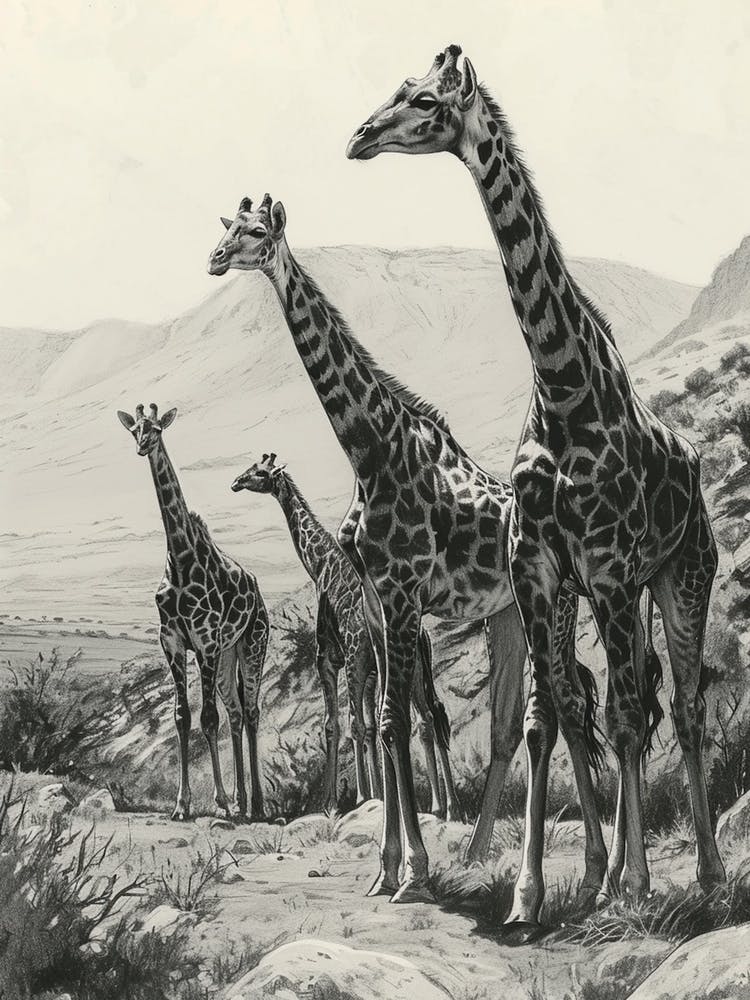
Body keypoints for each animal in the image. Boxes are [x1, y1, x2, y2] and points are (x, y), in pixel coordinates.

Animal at [117, 403, 268, 822]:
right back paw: (243, 802)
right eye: (134, 429)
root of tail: (257, 589)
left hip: (252, 645)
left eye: (156, 429)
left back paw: (257, 805)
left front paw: (219, 802)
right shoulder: (171, 641)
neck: (181, 559)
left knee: (251, 711)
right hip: (229, 654)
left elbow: (207, 718)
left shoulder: (205, 642)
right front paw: (182, 804)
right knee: (236, 713)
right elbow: (183, 717)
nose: (142, 446)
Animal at [231, 451, 460, 818]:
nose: (236, 482)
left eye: (260, 473)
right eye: (251, 468)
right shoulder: (368, 672)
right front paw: (374, 795)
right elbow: (368, 728)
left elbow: (337, 725)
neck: (320, 565)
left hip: (363, 662)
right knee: (426, 720)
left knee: (380, 722)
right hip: (413, 670)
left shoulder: (329, 658)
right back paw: (444, 807)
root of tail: (421, 632)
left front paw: (337, 802)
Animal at [346, 43, 725, 927]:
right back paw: (608, 873)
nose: (359, 137)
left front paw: (630, 885)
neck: (560, 383)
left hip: (681, 575)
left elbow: (618, 716)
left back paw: (702, 873)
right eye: (396, 89)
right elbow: (551, 718)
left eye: (424, 100)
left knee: (681, 707)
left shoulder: (612, 568)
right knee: (622, 701)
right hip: (617, 590)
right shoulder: (543, 570)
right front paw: (537, 891)